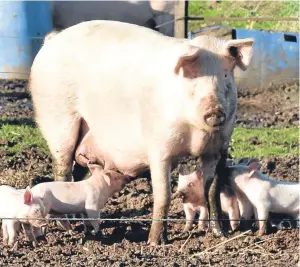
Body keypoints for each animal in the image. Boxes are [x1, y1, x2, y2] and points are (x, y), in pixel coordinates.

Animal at [28, 20, 254, 247]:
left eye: (226, 77)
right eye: (195, 80)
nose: (215, 111)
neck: (196, 134)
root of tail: (51, 41)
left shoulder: (218, 147)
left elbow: (213, 190)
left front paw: (221, 235)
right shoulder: (159, 147)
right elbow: (164, 195)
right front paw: (155, 243)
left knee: (78, 174)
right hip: (57, 122)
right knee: (62, 170)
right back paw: (66, 224)